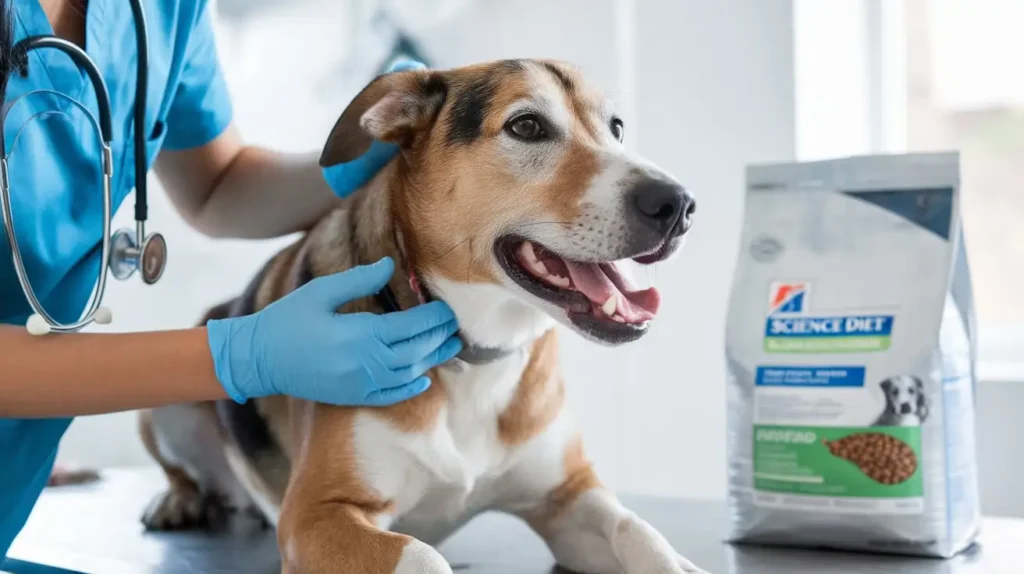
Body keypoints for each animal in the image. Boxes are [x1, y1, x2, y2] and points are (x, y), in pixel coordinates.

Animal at [138, 59, 704, 572]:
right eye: (526, 126)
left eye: (617, 128)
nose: (679, 205)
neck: (472, 356)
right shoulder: (315, 515)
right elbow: (423, 556)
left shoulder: (566, 497)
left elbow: (637, 530)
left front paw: (678, 562)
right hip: (168, 400)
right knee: (181, 468)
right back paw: (177, 500)